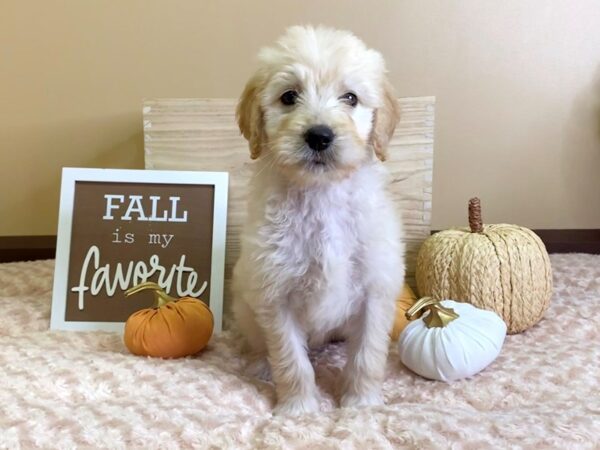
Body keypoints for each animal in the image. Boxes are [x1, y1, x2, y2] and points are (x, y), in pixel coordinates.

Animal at [232, 26, 406, 416]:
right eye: (289, 96)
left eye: (351, 98)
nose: (319, 135)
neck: (321, 195)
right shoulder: (275, 294)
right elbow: (290, 358)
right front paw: (299, 408)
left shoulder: (375, 287)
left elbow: (367, 355)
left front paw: (361, 403)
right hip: (246, 306)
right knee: (259, 342)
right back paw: (259, 365)